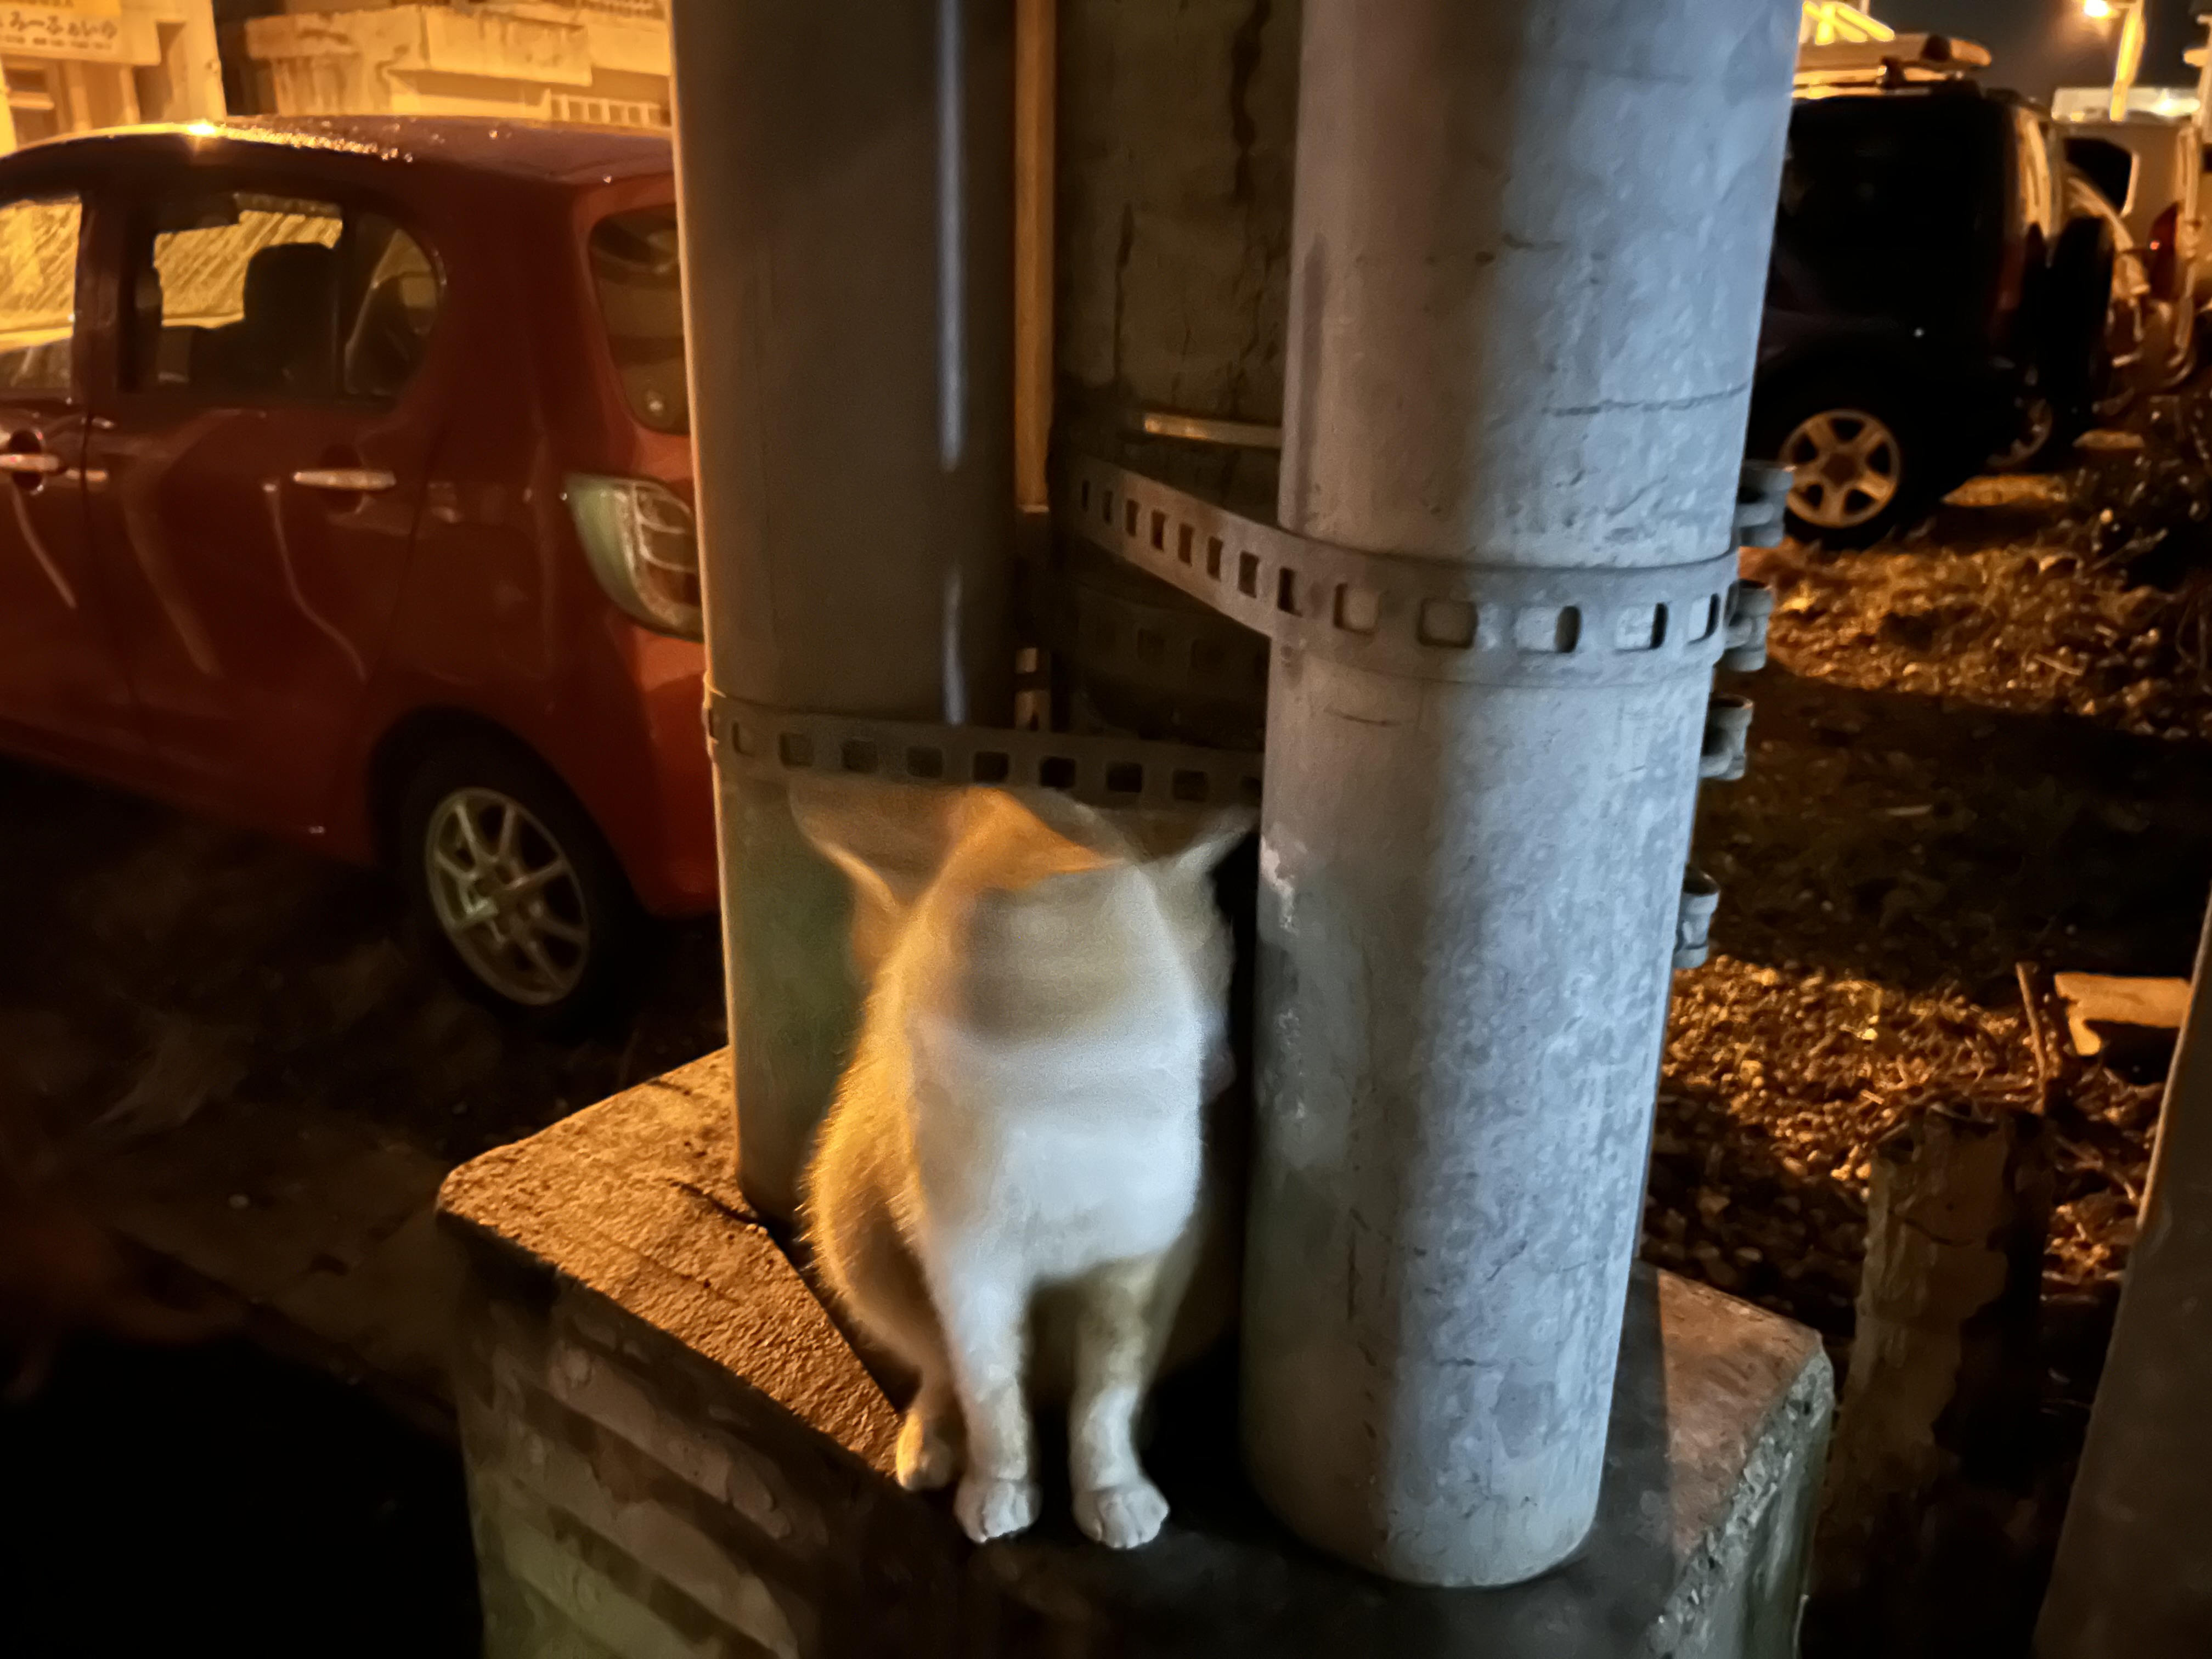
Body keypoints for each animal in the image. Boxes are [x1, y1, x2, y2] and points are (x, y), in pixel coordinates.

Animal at [791, 781, 1251, 1549]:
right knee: (938, 1369)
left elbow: (1105, 1399)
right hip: (854, 1228)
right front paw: (1002, 1482)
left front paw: (1112, 1485)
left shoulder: (1143, 1265)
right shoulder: (970, 1274)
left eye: (1223, 973)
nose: (1228, 1070)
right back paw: (934, 1440)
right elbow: (992, 1394)